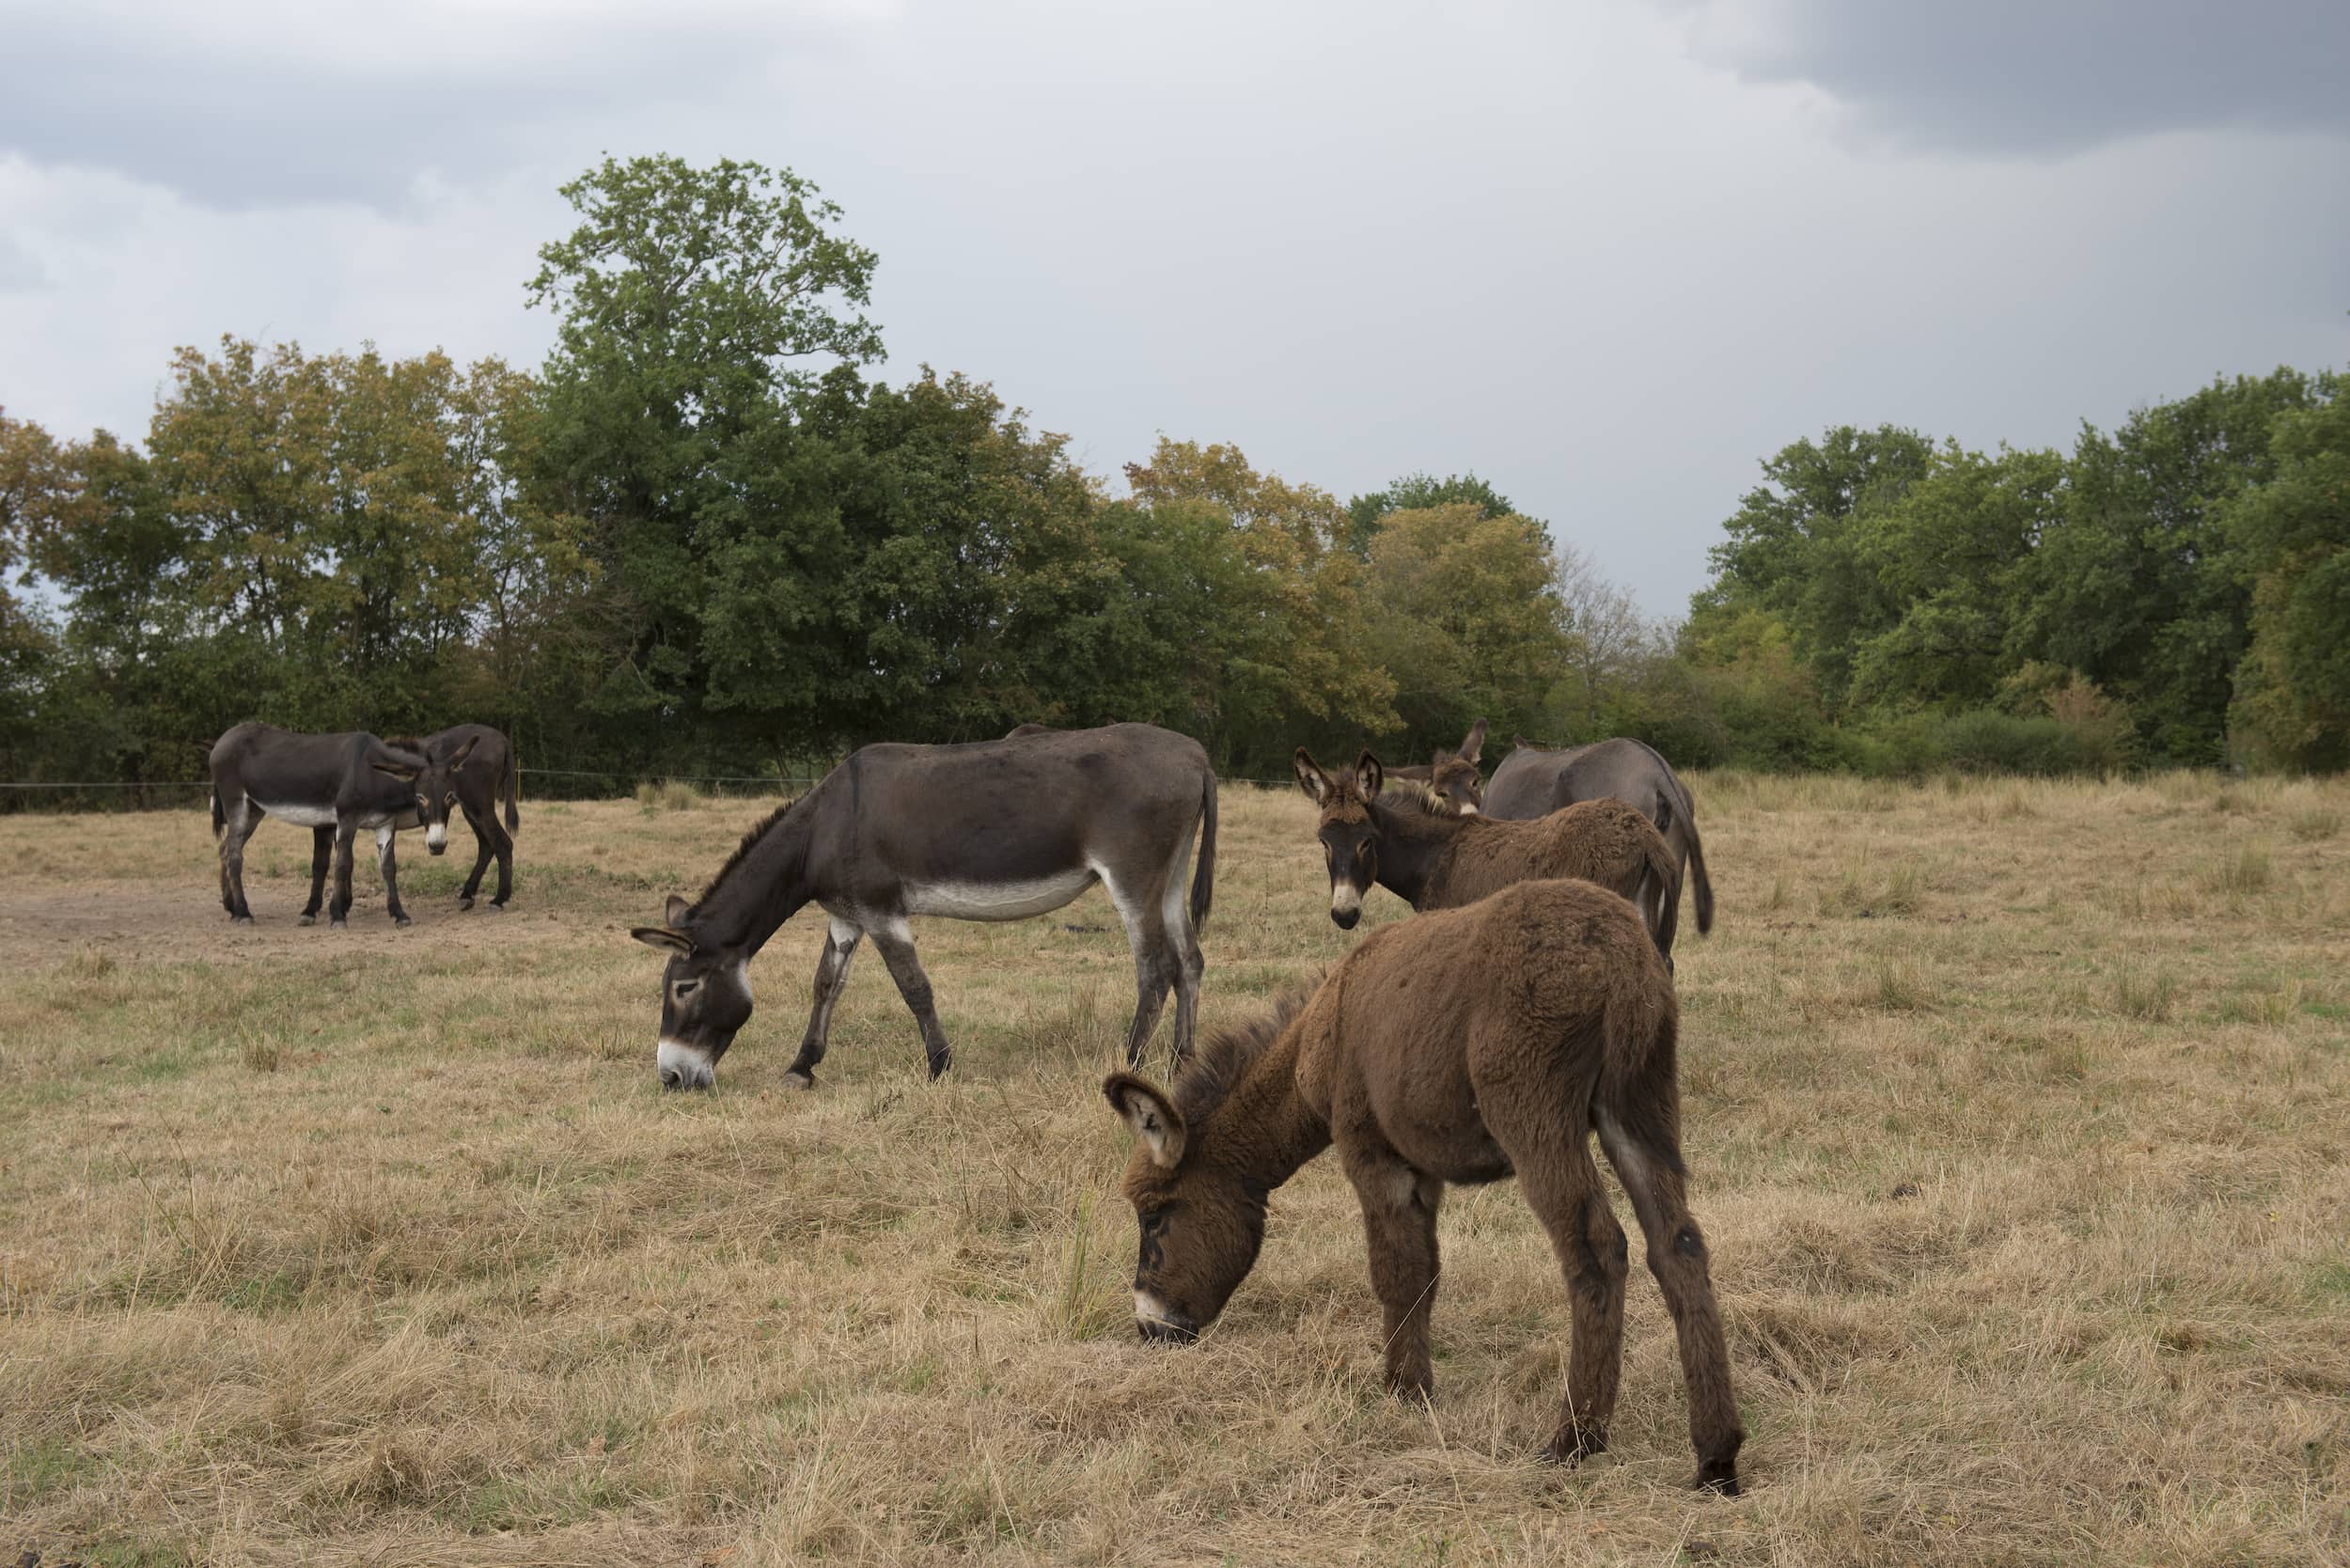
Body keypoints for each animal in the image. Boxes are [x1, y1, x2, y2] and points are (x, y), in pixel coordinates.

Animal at [1104, 884, 1748, 1495]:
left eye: (1155, 1216)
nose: (1149, 1329)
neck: (1322, 1029)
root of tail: (1621, 957)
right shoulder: (1422, 1169)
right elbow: (1426, 1274)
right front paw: (1416, 1387)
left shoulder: (1372, 1155)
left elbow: (1396, 1272)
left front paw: (1402, 1392)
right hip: (1639, 1109)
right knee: (1678, 1245)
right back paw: (1716, 1457)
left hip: (1537, 1117)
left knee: (1597, 1251)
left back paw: (1576, 1438)